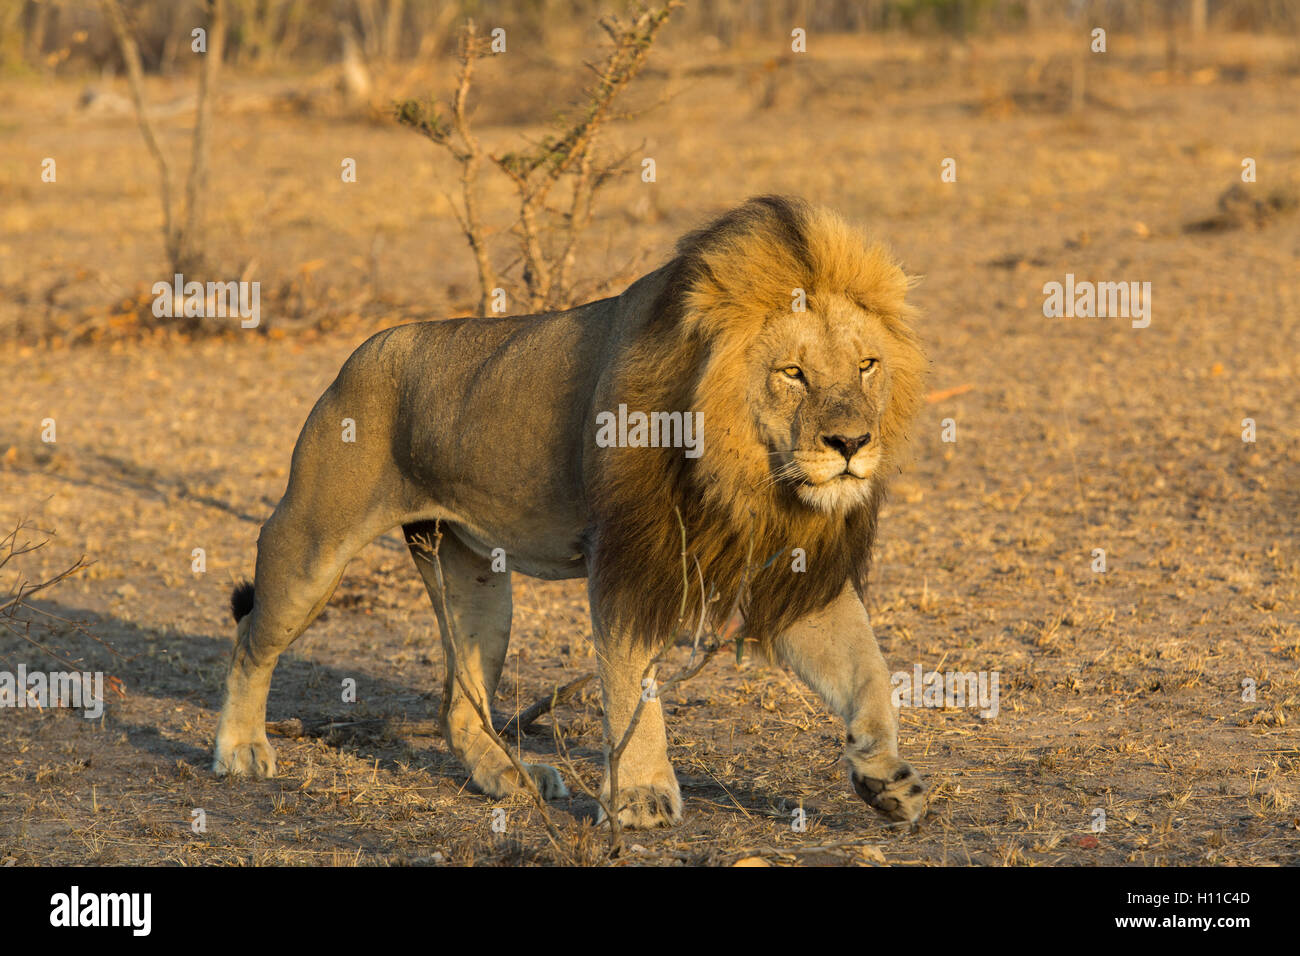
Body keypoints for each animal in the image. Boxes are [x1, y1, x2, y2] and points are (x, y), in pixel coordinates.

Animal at [213, 196, 925, 832]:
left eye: (868, 365)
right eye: (793, 373)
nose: (852, 443)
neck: (747, 475)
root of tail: (363, 351)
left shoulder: (792, 568)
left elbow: (867, 669)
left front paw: (885, 776)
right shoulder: (626, 559)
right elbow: (631, 684)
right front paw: (640, 797)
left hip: (474, 581)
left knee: (458, 705)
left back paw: (513, 778)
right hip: (312, 544)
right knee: (251, 638)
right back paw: (240, 749)